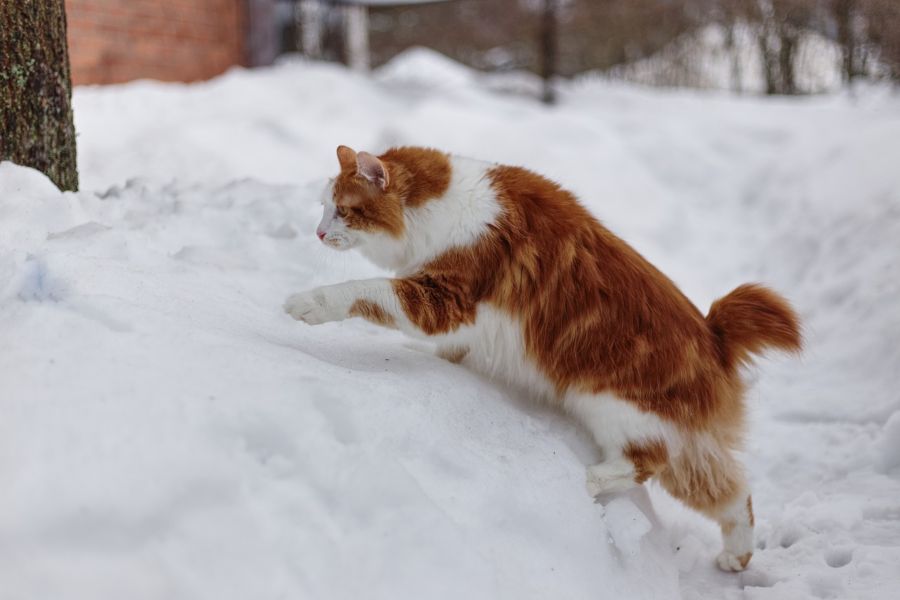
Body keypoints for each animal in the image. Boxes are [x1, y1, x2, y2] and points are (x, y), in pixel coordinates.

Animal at [284, 145, 800, 572]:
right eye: (324, 208)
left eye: (343, 210)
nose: (319, 232)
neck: (446, 207)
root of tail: (715, 334)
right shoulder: (461, 320)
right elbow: (450, 351)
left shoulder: (444, 298)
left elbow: (363, 292)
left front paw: (309, 303)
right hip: (687, 452)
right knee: (735, 493)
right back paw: (736, 557)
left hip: (620, 412)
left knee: (644, 464)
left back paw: (585, 481)